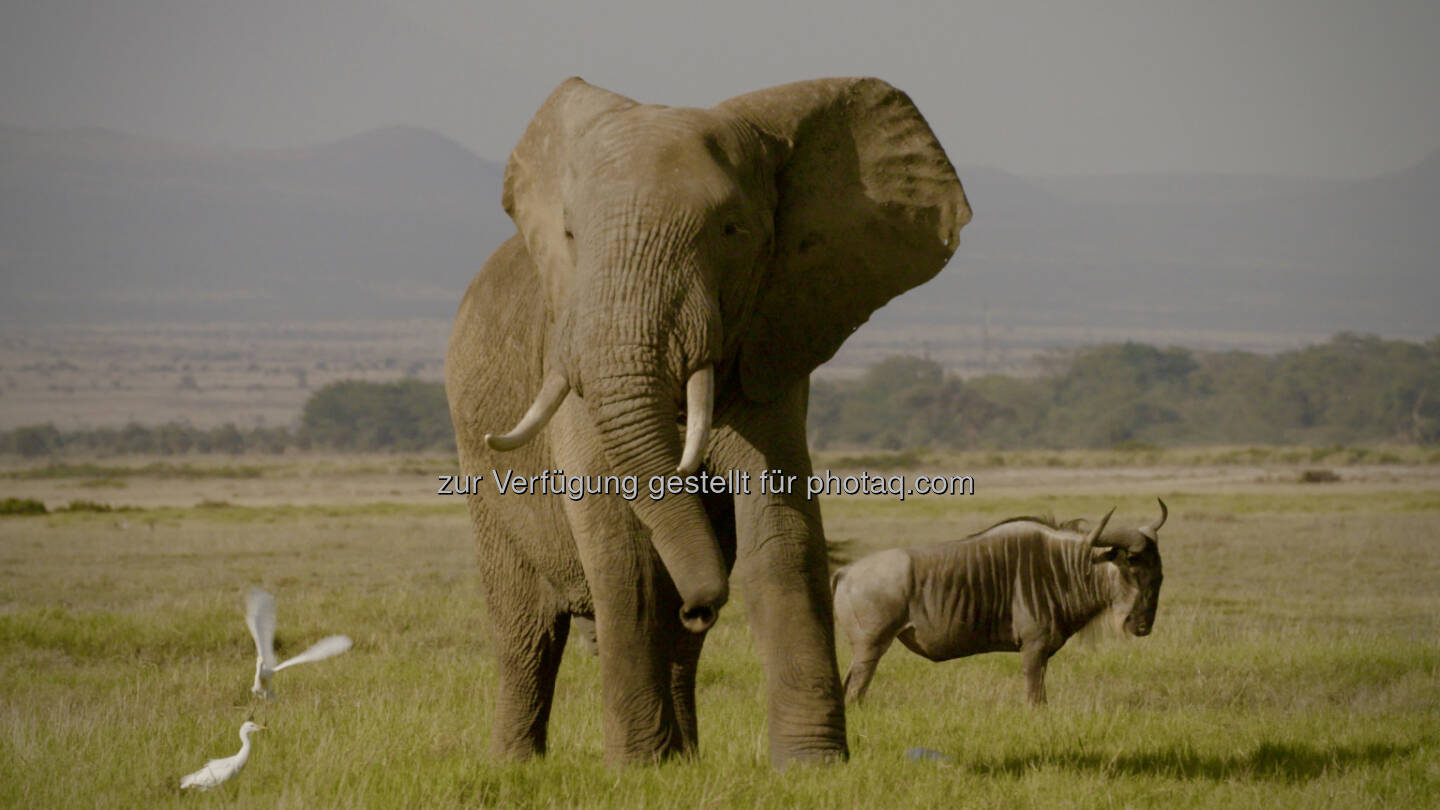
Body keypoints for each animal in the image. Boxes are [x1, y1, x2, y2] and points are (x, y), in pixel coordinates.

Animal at [443, 75, 973, 760]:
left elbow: (783, 537)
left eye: (731, 229)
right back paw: (519, 765)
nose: (701, 604)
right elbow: (625, 557)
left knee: (677, 648)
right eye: (571, 235)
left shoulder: (773, 342)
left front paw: (812, 765)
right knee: (524, 634)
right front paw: (636, 769)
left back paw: (684, 758)